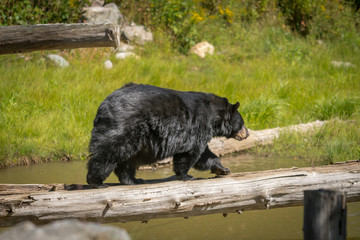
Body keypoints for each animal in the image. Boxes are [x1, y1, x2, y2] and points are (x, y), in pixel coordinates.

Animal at [87, 83, 250, 188]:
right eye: (242, 123)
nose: (247, 134)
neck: (213, 116)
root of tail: (103, 105)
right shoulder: (197, 126)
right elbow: (190, 153)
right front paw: (186, 175)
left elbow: (205, 154)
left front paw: (222, 169)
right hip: (124, 126)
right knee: (108, 152)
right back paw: (96, 181)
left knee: (127, 160)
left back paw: (133, 180)